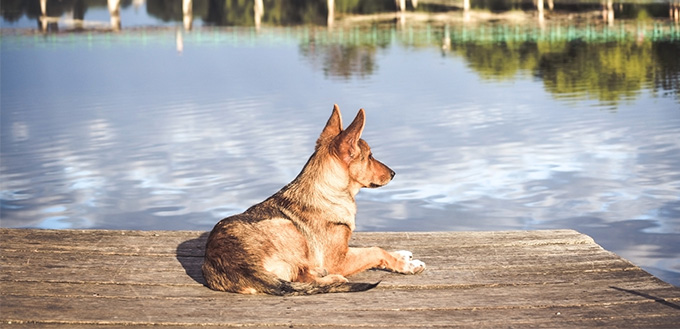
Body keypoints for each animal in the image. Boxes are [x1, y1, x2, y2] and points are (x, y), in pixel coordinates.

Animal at [202, 105, 424, 294]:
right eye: (370, 156)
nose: (394, 173)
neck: (327, 191)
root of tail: (243, 267)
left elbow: (370, 249)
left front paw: (400, 255)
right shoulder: (338, 260)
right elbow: (375, 251)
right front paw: (406, 265)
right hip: (289, 228)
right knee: (303, 276)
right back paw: (333, 278)